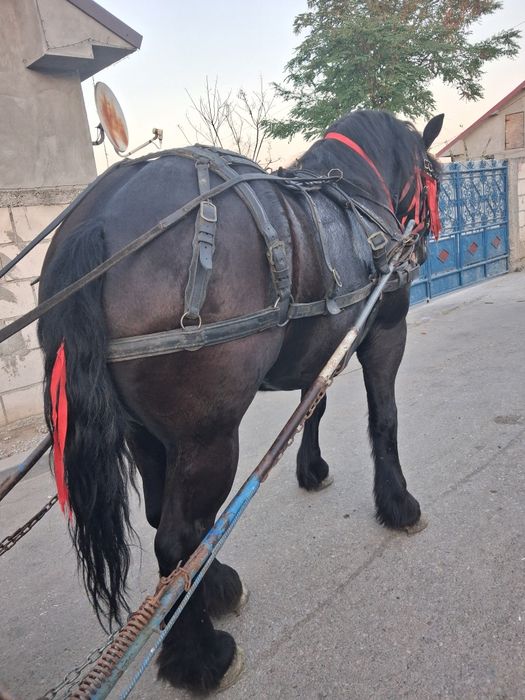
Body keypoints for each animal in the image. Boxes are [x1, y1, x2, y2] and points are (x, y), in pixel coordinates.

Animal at [37, 109, 443, 693]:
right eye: (433, 173)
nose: (427, 244)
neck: (359, 195)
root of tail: (98, 216)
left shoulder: (319, 345)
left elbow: (314, 405)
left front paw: (311, 468)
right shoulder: (386, 330)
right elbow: (383, 419)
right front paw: (398, 503)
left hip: (144, 432)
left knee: (167, 521)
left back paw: (211, 589)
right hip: (208, 435)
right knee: (177, 537)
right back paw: (199, 656)